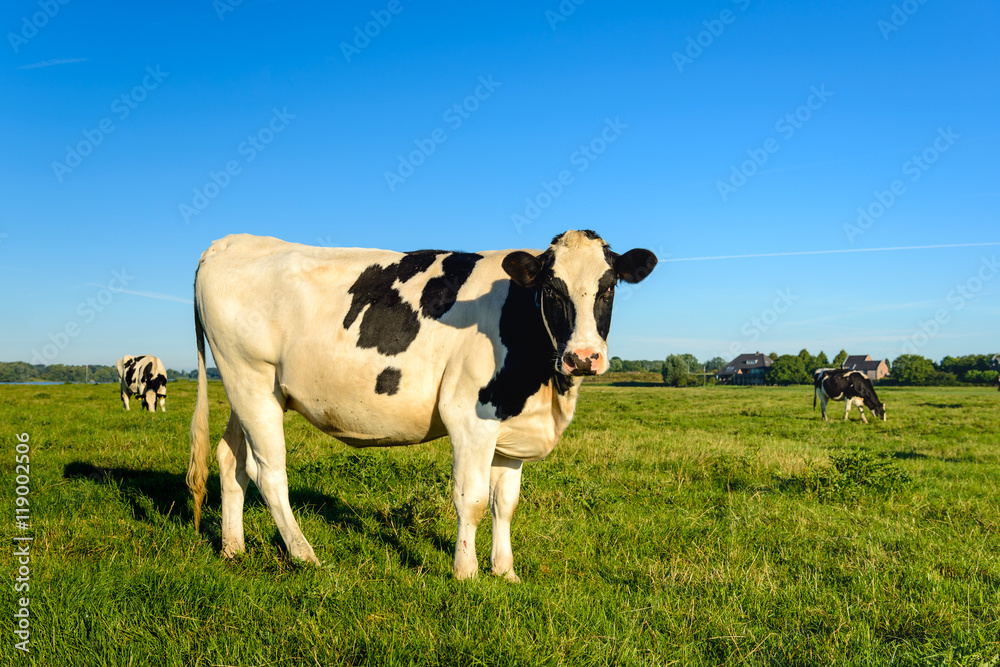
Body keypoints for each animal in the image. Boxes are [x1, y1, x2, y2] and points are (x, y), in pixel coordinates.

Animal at [187, 228, 656, 580]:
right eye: (553, 290)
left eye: (608, 288)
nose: (583, 357)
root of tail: (230, 241)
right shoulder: (469, 415)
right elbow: (471, 498)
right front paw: (466, 573)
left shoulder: (511, 422)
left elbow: (505, 503)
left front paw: (505, 571)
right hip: (250, 378)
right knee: (268, 473)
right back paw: (305, 555)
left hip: (250, 389)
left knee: (230, 460)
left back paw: (233, 548)